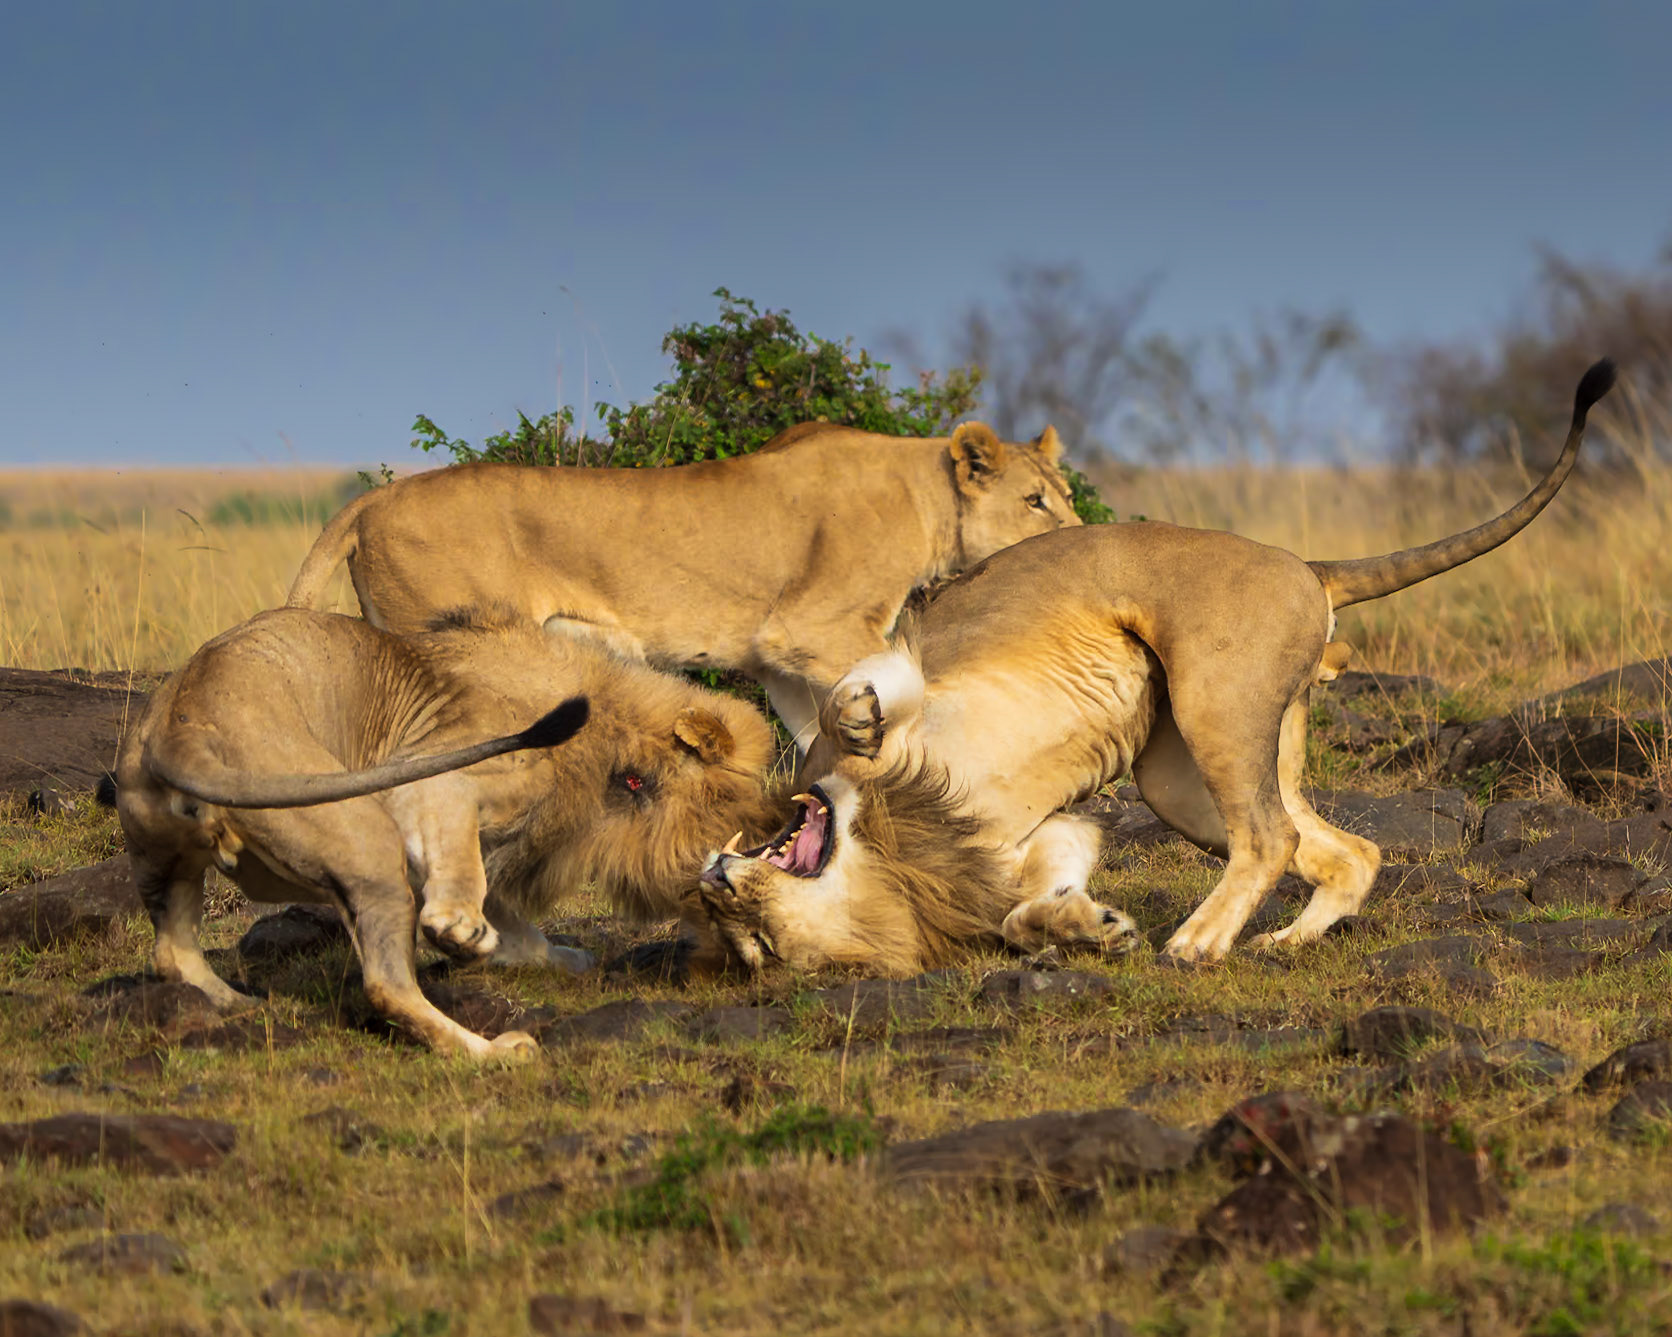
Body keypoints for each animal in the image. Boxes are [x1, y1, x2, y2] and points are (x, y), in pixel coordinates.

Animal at [112, 607, 776, 1058]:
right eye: (730, 809)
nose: (765, 839)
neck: (612, 764)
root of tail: (182, 726)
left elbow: (516, 920)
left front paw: (551, 954)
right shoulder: (433, 778)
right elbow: (466, 871)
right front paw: (458, 931)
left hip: (164, 858)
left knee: (171, 952)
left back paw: (238, 1006)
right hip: (362, 833)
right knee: (386, 986)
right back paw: (494, 1053)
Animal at [284, 421, 1079, 748]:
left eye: (1064, 493)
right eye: (1034, 501)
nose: (1080, 529)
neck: (926, 495)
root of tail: (371, 499)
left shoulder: (775, 658)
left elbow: (812, 736)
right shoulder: (811, 627)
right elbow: (913, 686)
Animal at [688, 360, 1617, 975]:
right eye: (756, 947)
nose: (714, 875)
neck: (891, 840)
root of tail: (1308, 566)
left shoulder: (907, 680)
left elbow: (865, 685)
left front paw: (861, 712)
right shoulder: (1047, 836)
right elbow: (1023, 910)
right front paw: (1089, 927)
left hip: (1212, 699)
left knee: (1272, 837)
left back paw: (1197, 942)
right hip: (1184, 777)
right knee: (1338, 848)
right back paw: (1276, 941)